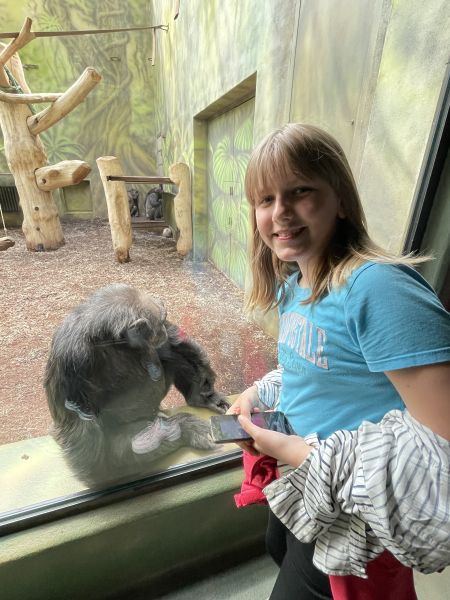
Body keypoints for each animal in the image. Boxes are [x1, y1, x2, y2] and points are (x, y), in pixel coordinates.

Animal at [45, 284, 230, 487]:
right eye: (160, 320)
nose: (163, 329)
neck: (110, 340)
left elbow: (175, 346)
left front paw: (206, 394)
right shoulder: (70, 360)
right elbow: (79, 424)